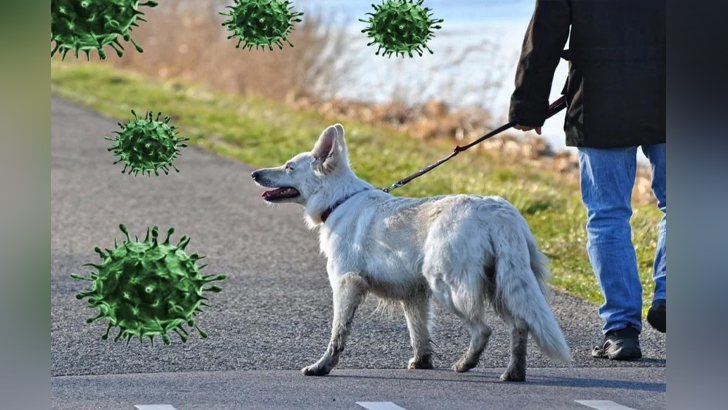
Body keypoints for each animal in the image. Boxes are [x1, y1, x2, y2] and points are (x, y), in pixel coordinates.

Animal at [253, 123, 572, 380]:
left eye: (288, 167)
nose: (255, 173)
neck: (339, 200)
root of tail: (499, 212)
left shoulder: (346, 285)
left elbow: (338, 334)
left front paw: (322, 367)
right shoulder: (414, 295)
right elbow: (419, 333)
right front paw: (422, 362)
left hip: (449, 286)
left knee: (483, 330)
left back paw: (466, 364)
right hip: (502, 286)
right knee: (520, 325)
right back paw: (513, 373)